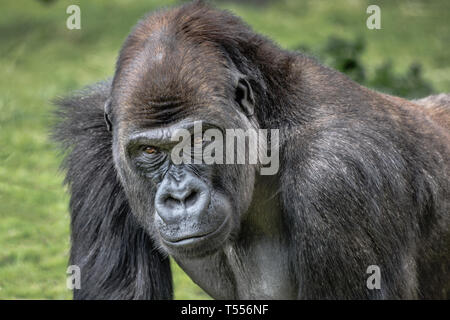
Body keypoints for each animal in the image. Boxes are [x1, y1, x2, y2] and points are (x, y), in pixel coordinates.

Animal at [53, 1, 450, 298]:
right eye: (150, 151)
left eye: (201, 140)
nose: (180, 197)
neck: (271, 127)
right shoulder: (94, 138)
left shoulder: (340, 174)